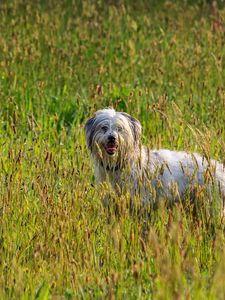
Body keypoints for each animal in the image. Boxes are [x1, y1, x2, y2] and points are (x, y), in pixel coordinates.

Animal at [85, 108, 225, 209]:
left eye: (120, 129)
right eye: (104, 128)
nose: (112, 138)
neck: (121, 163)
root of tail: (218, 167)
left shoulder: (141, 198)